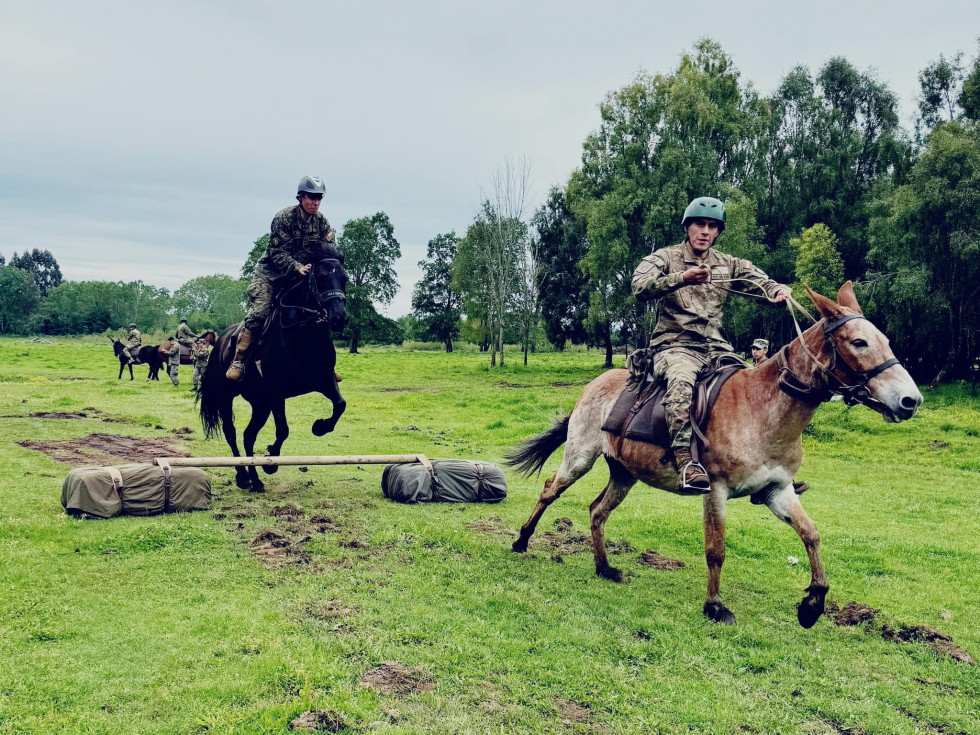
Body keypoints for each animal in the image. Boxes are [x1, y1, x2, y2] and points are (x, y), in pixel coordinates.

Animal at [199, 247, 348, 494]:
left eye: (344, 278)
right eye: (321, 277)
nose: (339, 318)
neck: (303, 333)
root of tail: (219, 341)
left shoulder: (324, 379)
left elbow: (340, 405)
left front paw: (320, 426)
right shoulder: (277, 392)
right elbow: (283, 430)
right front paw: (271, 462)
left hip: (261, 403)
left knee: (248, 436)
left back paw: (255, 480)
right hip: (226, 396)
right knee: (231, 432)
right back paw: (243, 476)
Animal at [510, 284, 924, 628]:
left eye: (885, 340)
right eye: (858, 342)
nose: (910, 400)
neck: (762, 410)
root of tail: (594, 385)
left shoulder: (777, 491)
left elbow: (811, 534)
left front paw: (812, 605)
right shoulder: (716, 491)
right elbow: (716, 550)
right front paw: (714, 606)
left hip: (624, 473)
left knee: (597, 510)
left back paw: (604, 568)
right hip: (579, 457)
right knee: (550, 490)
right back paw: (522, 541)